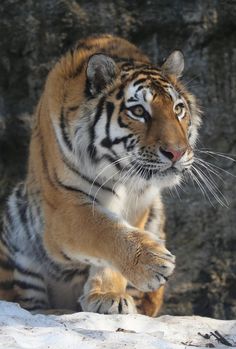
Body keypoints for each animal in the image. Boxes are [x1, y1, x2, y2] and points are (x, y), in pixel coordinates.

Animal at [0, 34, 201, 314]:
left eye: (178, 109)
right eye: (139, 111)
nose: (177, 153)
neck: (120, 171)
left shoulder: (138, 204)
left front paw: (109, 295)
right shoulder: (64, 205)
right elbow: (103, 228)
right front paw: (152, 262)